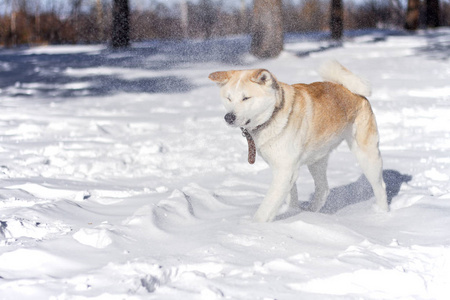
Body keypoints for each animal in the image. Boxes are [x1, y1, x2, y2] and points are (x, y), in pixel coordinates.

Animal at [209, 60, 388, 223]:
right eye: (228, 98)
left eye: (246, 98)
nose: (229, 117)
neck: (273, 114)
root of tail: (348, 88)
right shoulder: (283, 168)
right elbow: (289, 198)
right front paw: (292, 213)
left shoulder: (285, 171)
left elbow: (266, 207)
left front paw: (253, 226)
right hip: (316, 161)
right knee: (323, 189)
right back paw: (312, 213)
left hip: (367, 156)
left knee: (380, 186)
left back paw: (382, 214)